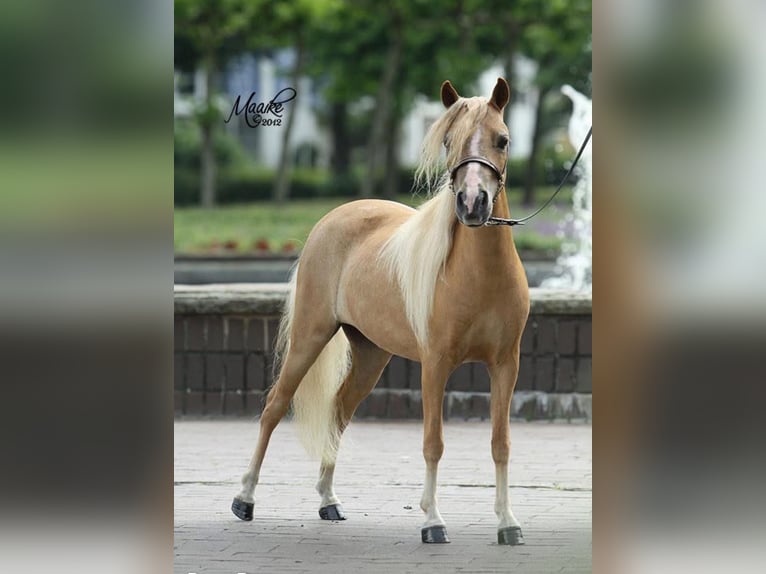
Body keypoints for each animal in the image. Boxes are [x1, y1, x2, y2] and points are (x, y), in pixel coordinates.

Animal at [231, 78, 530, 546]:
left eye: (502, 140)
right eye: (449, 141)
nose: (472, 204)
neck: (479, 275)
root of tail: (330, 220)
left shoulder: (505, 365)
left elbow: (501, 443)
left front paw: (507, 523)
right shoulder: (435, 365)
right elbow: (433, 442)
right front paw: (432, 521)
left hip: (371, 355)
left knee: (338, 412)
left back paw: (328, 501)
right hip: (309, 337)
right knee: (274, 407)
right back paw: (244, 499)